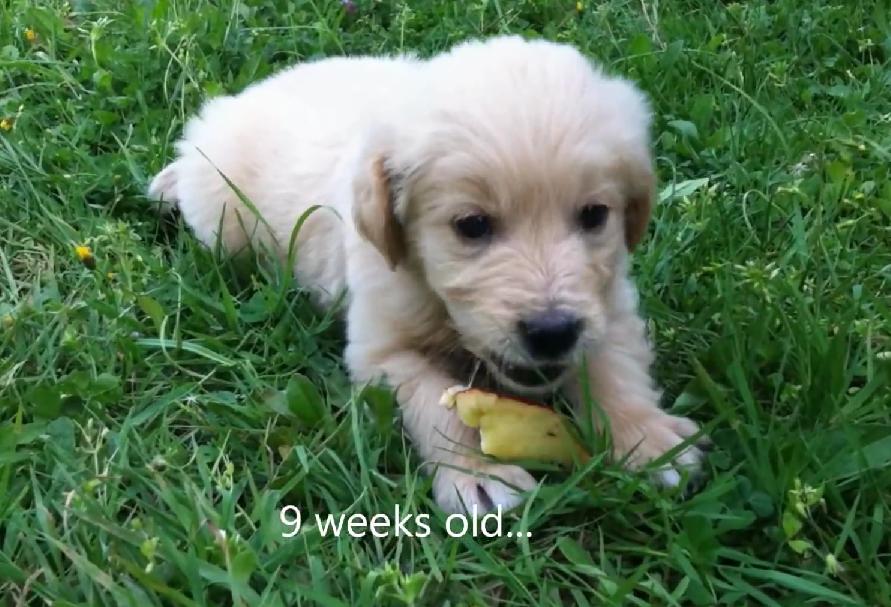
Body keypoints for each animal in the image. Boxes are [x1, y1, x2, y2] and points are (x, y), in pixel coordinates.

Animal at [150, 36, 708, 512]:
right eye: (472, 225)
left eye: (594, 215)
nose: (552, 332)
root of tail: (234, 104)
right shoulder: (383, 349)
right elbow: (438, 406)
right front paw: (476, 474)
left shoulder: (605, 300)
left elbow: (616, 367)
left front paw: (648, 438)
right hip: (224, 220)